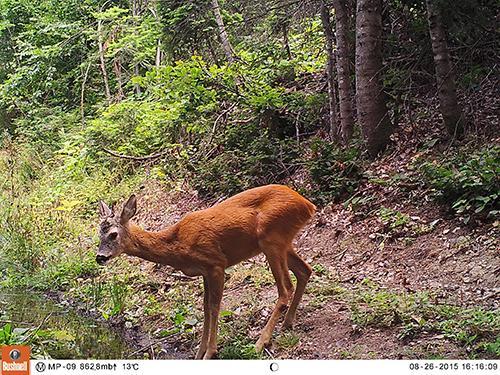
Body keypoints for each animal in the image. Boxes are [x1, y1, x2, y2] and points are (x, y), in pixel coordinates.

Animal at [97, 185, 314, 362]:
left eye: (113, 234)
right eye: (98, 234)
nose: (99, 257)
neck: (177, 244)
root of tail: (308, 205)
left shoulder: (216, 264)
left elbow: (215, 306)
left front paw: (211, 352)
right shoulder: (204, 272)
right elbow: (205, 308)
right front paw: (199, 353)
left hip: (271, 239)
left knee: (285, 288)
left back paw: (260, 343)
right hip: (282, 242)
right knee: (305, 270)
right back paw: (287, 323)